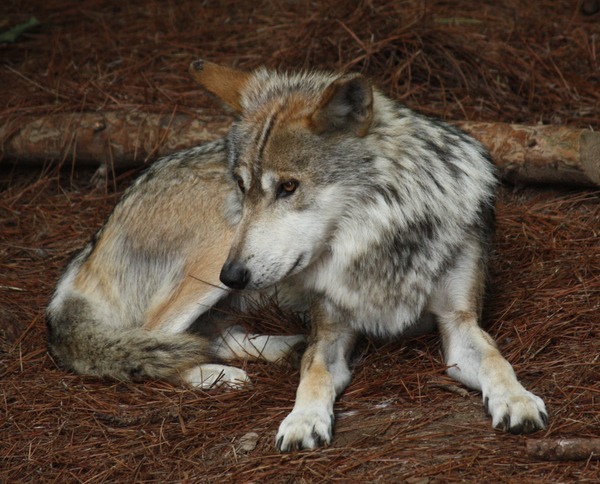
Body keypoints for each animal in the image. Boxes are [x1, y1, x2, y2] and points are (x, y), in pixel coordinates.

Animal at [191, 59, 548, 450]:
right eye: (242, 186)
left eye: (288, 187)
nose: (232, 275)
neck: (375, 240)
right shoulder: (329, 331)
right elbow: (313, 374)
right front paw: (303, 419)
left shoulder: (460, 321)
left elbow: (496, 360)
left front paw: (516, 399)